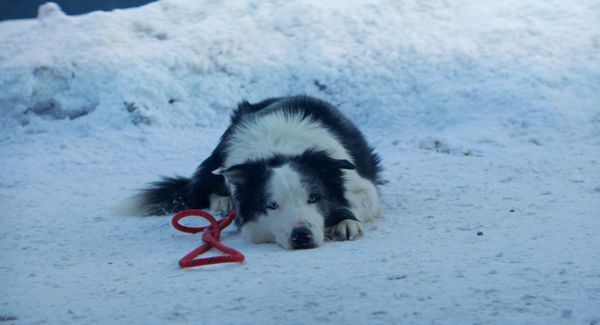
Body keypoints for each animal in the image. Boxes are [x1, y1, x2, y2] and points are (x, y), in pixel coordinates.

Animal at [129, 95, 382, 248]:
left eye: (314, 197)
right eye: (272, 205)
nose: (301, 236)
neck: (279, 150)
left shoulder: (361, 184)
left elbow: (356, 200)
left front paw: (345, 221)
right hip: (218, 156)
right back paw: (223, 202)